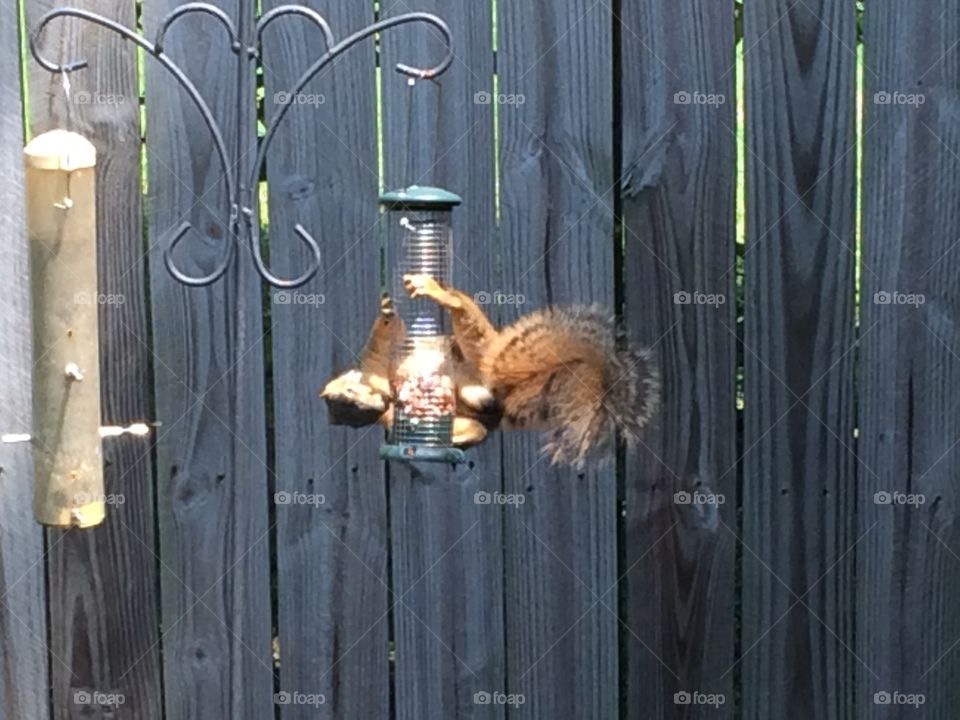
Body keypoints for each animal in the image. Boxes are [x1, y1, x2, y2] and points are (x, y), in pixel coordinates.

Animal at [320, 274, 660, 468]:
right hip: (480, 388)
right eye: (349, 405)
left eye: (349, 391)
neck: (388, 395)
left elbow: (382, 341)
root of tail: (502, 398)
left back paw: (438, 292)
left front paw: (387, 312)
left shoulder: (373, 365)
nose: (371, 402)